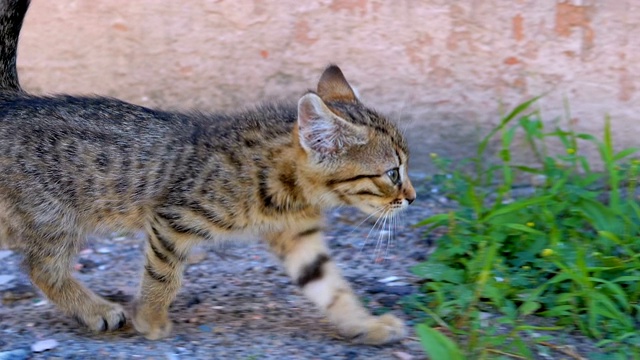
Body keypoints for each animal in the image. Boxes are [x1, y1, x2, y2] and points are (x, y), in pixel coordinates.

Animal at [0, 0, 416, 344]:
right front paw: (151, 318)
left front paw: (366, 325)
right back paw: (97, 310)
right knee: (41, 268)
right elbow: (163, 273)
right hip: (54, 217)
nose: (412, 198)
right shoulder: (173, 218)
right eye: (392, 173)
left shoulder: (299, 236)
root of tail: (13, 100)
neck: (288, 188)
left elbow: (332, 289)